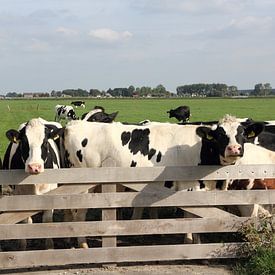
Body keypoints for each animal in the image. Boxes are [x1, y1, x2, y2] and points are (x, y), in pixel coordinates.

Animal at [2, 117, 63, 251]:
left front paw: (49, 247)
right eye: (24, 142)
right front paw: (23, 247)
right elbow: (26, 222)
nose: (34, 167)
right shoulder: (21, 197)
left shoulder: (51, 195)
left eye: (45, 143)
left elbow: (47, 221)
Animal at [52, 114, 264, 248]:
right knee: (79, 214)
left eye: (242, 133)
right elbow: (190, 217)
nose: (234, 149)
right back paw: (83, 244)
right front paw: (191, 242)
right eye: (220, 134)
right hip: (83, 186)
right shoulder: (189, 188)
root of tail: (72, 125)